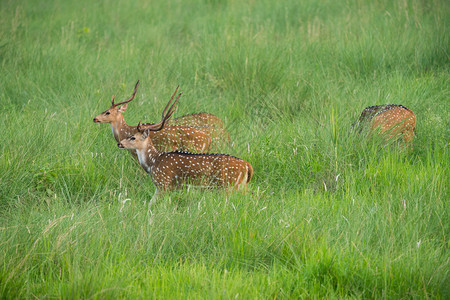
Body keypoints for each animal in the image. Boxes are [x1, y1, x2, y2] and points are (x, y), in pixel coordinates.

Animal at [118, 88, 253, 203]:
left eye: (133, 137)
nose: (119, 143)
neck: (152, 164)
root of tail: (247, 166)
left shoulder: (163, 183)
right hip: (240, 186)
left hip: (230, 186)